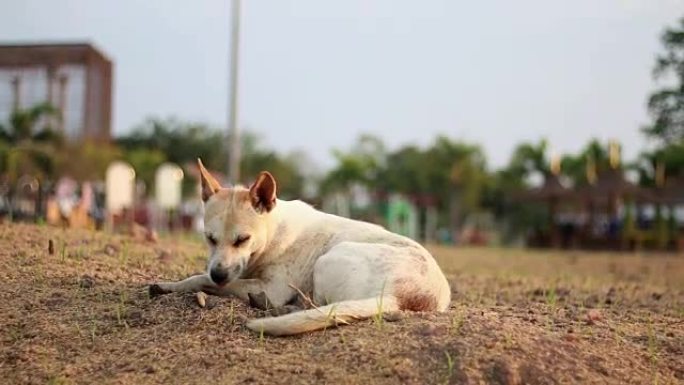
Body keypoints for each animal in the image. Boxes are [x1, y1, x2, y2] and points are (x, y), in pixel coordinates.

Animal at [148, 158, 448, 334]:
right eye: (209, 238)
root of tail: (398, 296)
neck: (273, 231)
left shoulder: (272, 288)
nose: (219, 274)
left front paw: (176, 285)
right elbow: (201, 277)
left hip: (327, 260)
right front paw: (169, 286)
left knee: (319, 305)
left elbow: (200, 279)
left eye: (242, 240)